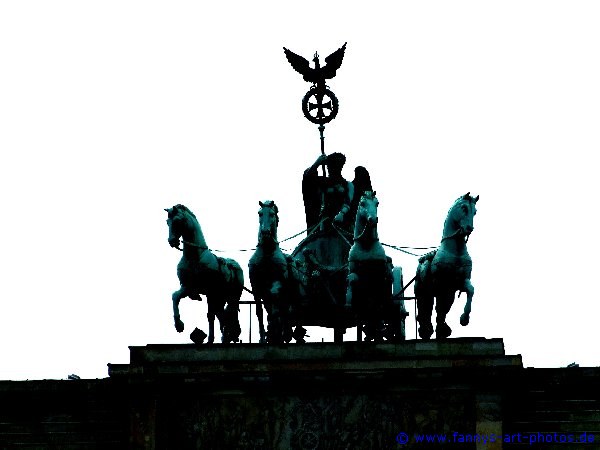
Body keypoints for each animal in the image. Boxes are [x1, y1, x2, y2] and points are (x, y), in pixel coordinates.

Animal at [165, 205, 243, 344]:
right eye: (167, 222)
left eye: (177, 221)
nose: (172, 241)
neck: (194, 257)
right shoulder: (187, 287)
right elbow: (175, 296)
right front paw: (179, 325)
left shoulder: (210, 291)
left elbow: (210, 315)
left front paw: (211, 339)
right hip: (219, 297)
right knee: (222, 316)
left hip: (231, 298)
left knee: (226, 315)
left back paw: (225, 338)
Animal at [414, 192, 480, 340]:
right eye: (464, 208)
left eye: (475, 211)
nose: (469, 228)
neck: (455, 252)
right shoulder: (440, 284)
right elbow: (439, 307)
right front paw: (440, 329)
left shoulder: (457, 284)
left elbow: (470, 290)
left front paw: (464, 318)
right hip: (422, 291)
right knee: (425, 309)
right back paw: (426, 330)